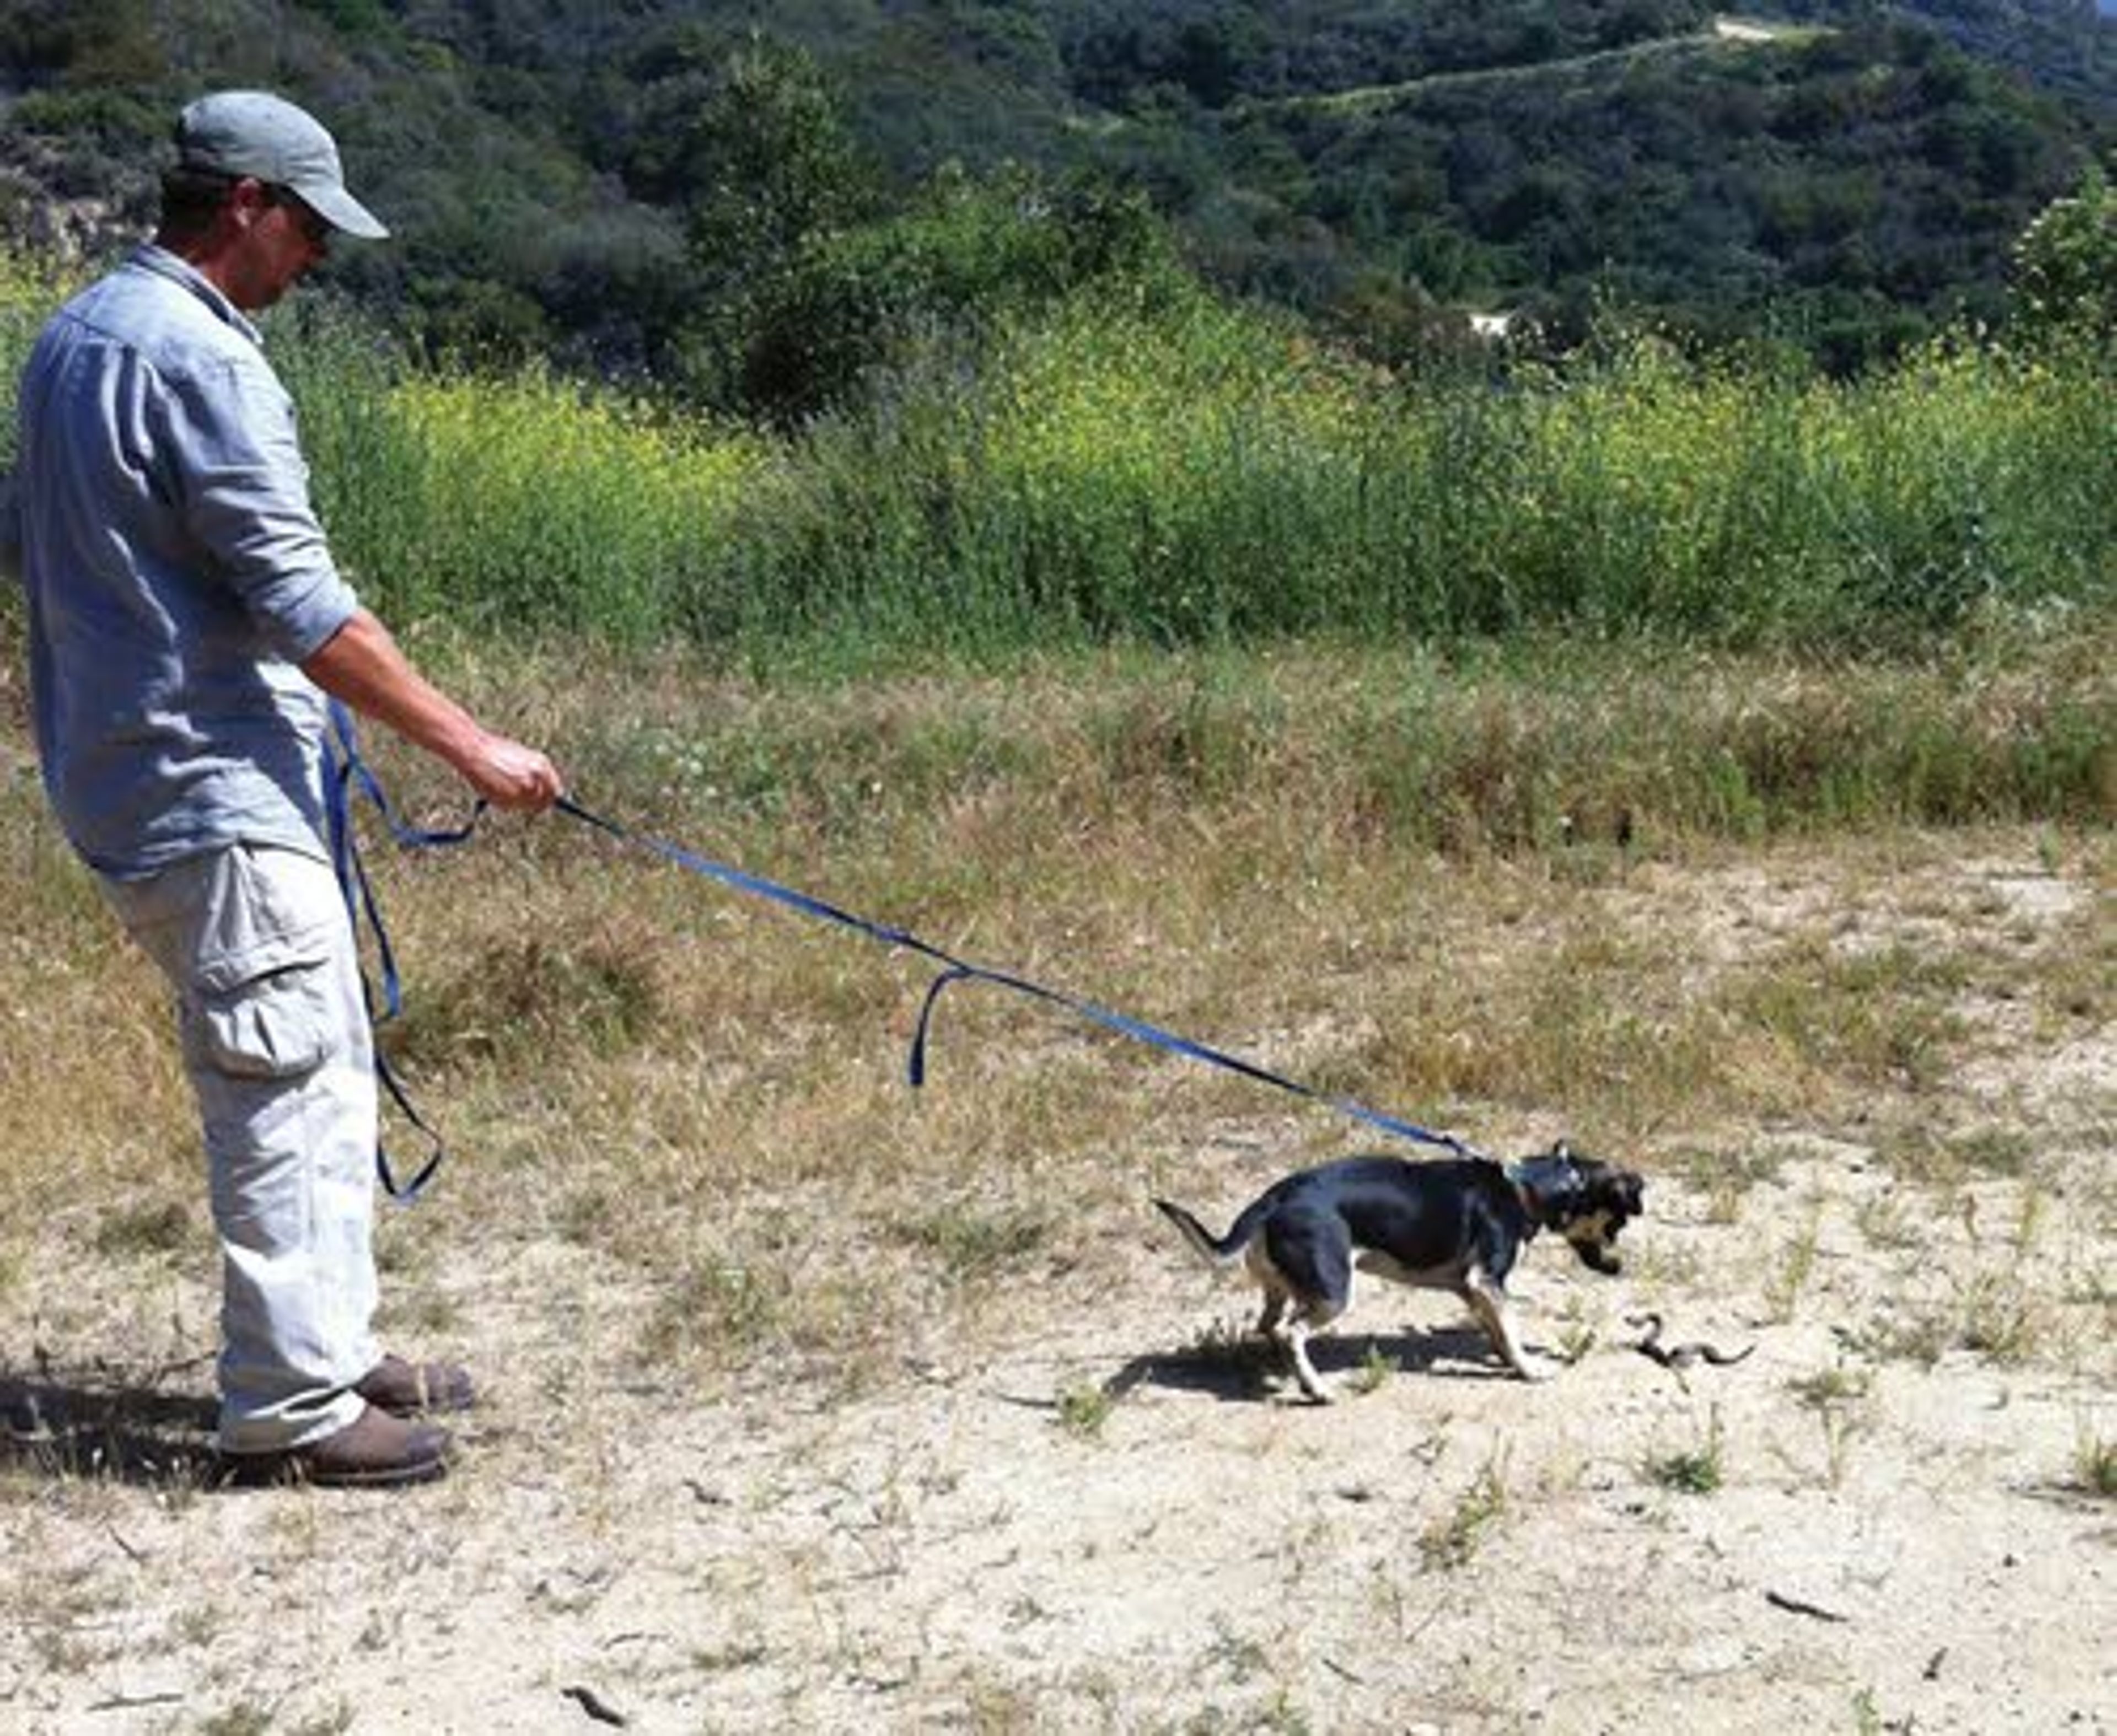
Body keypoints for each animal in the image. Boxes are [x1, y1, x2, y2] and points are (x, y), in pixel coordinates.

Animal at [1160, 1143, 1634, 1405]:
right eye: (1616, 1225)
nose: (1619, 1267)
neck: (1526, 1187)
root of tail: (1273, 1198)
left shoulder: (1471, 1288)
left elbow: (1498, 1329)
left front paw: (1506, 1360)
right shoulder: (1487, 1280)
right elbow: (1512, 1326)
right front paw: (1530, 1368)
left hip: (1285, 1287)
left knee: (1270, 1326)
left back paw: (1291, 1372)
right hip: (1333, 1291)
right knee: (1293, 1331)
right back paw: (1317, 1389)